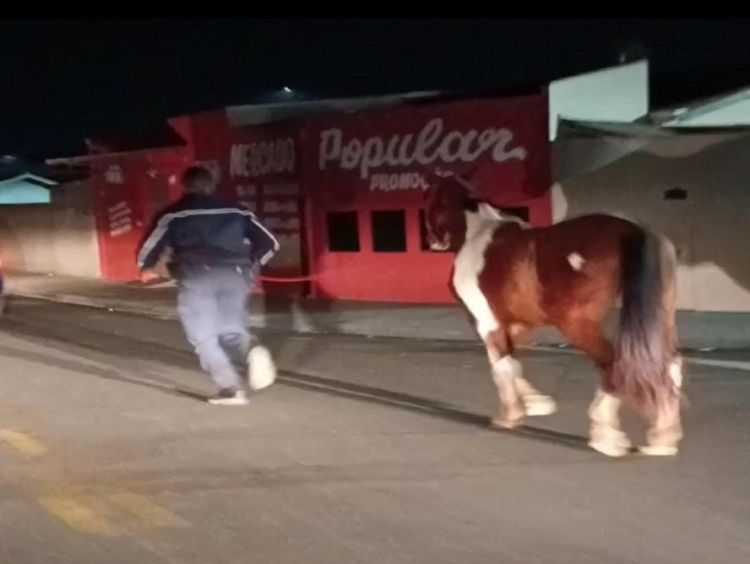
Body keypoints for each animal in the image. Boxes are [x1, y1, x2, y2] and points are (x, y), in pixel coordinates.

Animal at [426, 173, 684, 458]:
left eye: (430, 200)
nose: (431, 240)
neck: (478, 238)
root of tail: (632, 231)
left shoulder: (487, 323)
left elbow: (502, 366)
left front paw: (509, 416)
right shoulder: (519, 325)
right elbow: (513, 363)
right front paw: (535, 403)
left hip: (577, 325)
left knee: (614, 365)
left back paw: (606, 437)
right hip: (657, 322)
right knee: (671, 365)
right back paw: (661, 440)